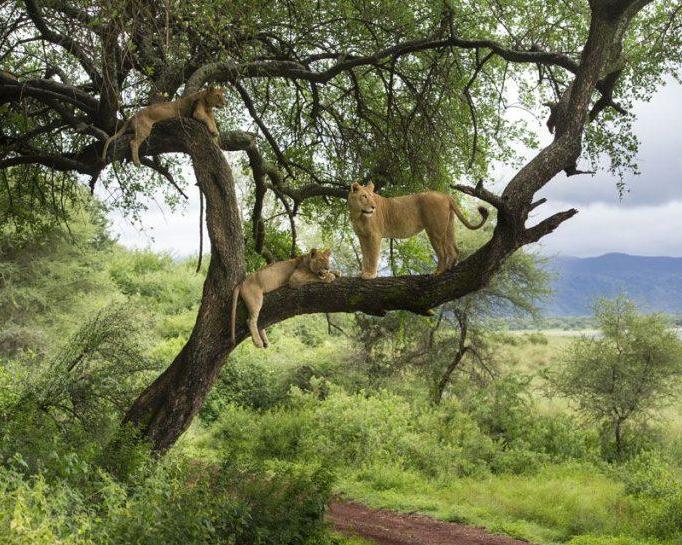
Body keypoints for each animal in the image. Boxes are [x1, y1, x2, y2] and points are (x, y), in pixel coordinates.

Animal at [348, 183, 486, 278]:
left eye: (372, 197)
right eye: (364, 196)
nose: (374, 207)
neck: (358, 215)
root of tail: (445, 195)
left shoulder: (374, 236)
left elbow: (372, 256)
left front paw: (370, 274)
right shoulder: (362, 236)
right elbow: (366, 255)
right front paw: (363, 272)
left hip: (434, 231)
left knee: (443, 252)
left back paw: (439, 271)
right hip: (448, 227)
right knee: (454, 250)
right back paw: (449, 268)